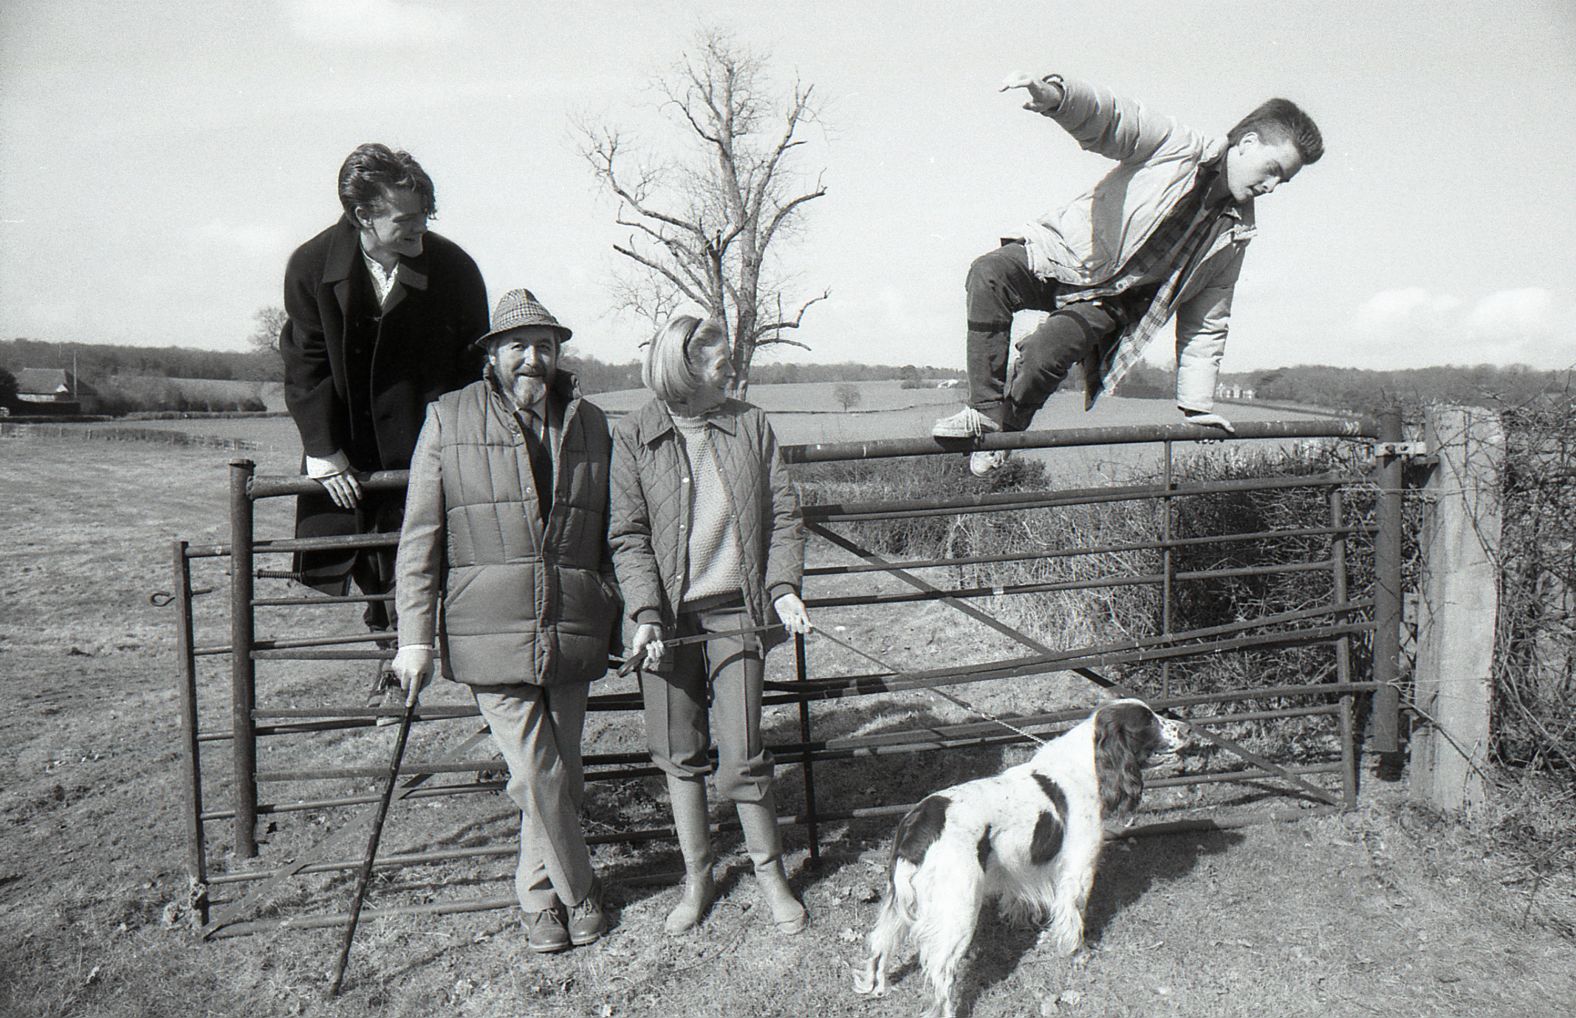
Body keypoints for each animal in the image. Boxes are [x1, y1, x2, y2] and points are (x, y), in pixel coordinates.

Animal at [857, 702, 1185, 1018]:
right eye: (1148, 721)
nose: (1187, 727)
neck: (1086, 767)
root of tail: (919, 823)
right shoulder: (1078, 868)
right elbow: (1073, 916)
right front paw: (1078, 953)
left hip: (900, 899)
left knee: (880, 943)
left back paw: (876, 987)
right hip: (958, 908)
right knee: (940, 969)